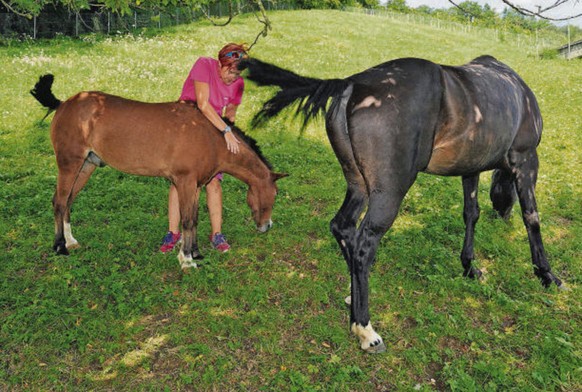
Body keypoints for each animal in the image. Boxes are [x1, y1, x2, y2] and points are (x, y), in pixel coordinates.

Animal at [32, 72, 288, 270]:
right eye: (274, 195)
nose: (267, 226)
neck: (211, 137)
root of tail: (63, 104)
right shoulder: (185, 182)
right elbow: (186, 220)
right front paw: (186, 260)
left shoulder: (196, 185)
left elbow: (194, 218)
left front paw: (195, 253)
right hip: (69, 164)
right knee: (59, 201)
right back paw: (60, 246)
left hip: (86, 166)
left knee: (67, 201)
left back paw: (71, 241)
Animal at [242, 56, 564, 354]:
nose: (503, 216)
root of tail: (353, 84)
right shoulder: (526, 159)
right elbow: (532, 217)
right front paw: (546, 273)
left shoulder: (470, 168)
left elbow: (471, 214)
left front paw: (469, 266)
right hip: (389, 193)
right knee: (363, 245)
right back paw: (365, 329)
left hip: (359, 186)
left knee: (343, 228)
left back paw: (353, 297)